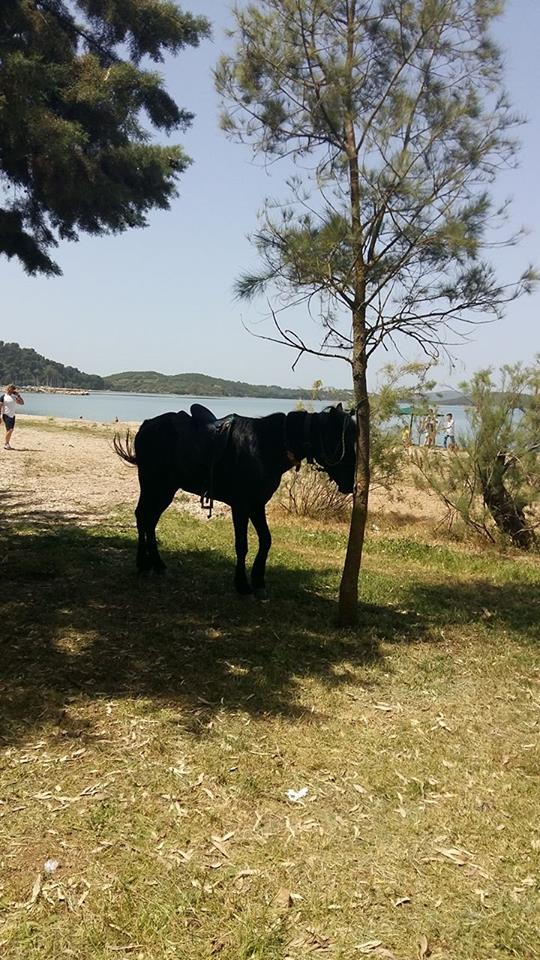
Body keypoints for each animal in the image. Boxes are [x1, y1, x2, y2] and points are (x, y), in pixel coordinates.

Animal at [115, 402, 354, 596]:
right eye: (341, 440)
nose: (351, 483)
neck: (265, 446)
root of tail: (146, 426)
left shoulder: (257, 504)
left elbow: (266, 540)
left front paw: (258, 581)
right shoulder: (241, 506)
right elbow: (242, 545)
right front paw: (242, 584)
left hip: (164, 489)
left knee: (149, 519)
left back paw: (155, 564)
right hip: (155, 485)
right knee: (143, 517)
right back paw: (144, 564)